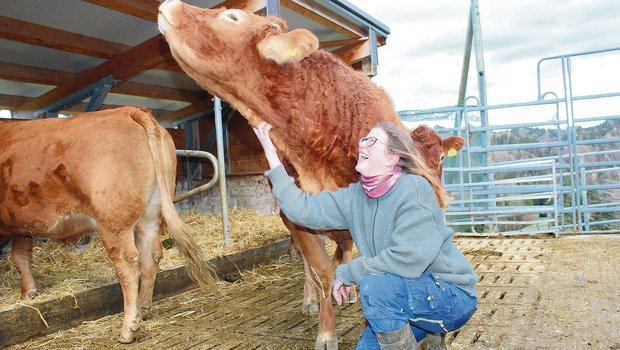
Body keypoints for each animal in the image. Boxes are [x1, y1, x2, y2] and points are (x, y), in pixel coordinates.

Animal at [0, 106, 216, 342]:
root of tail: (129, 110)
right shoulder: (21, 226)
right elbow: (21, 256)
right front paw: (27, 294)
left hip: (113, 220)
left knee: (127, 263)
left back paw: (129, 328)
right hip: (151, 211)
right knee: (151, 255)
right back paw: (143, 309)